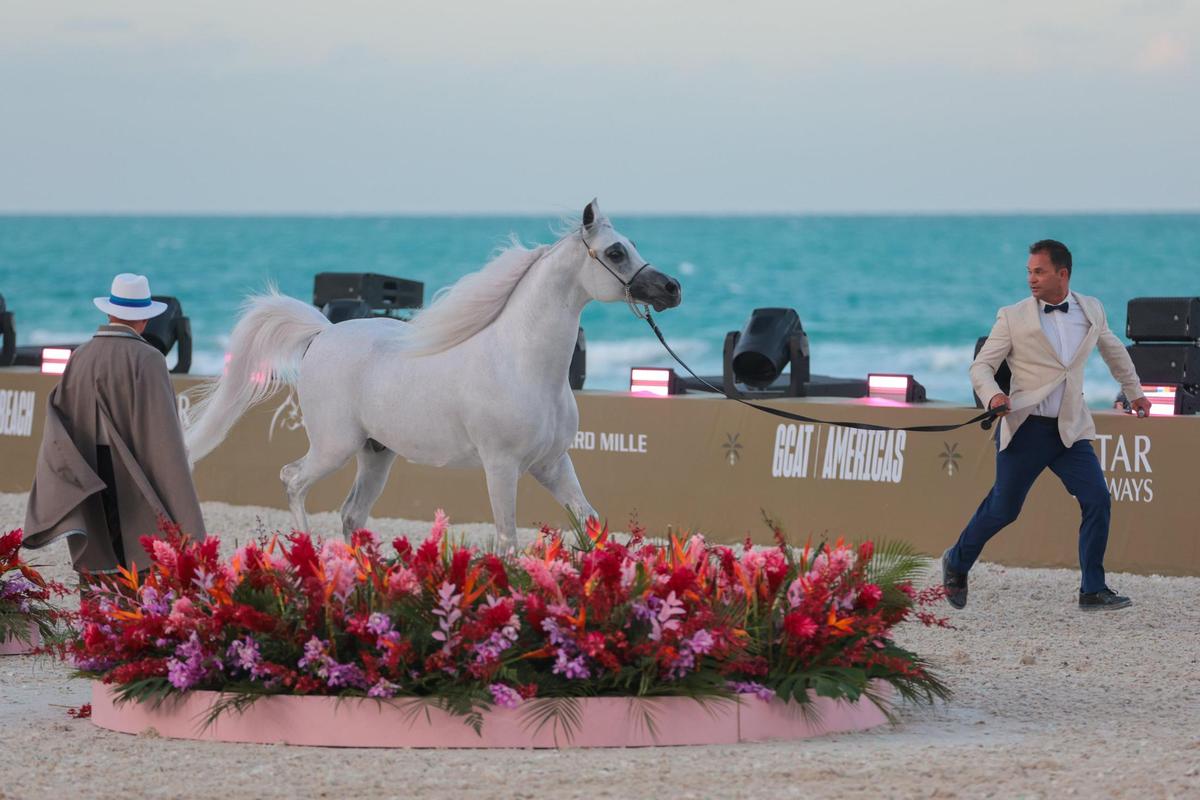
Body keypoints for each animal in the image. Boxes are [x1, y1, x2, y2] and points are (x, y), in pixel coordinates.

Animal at [182, 200, 683, 551]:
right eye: (615, 252)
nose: (672, 289)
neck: (522, 364)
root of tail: (322, 334)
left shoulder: (553, 463)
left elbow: (591, 522)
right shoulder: (502, 466)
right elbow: (507, 541)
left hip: (375, 454)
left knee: (351, 515)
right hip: (333, 446)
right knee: (293, 480)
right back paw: (308, 556)